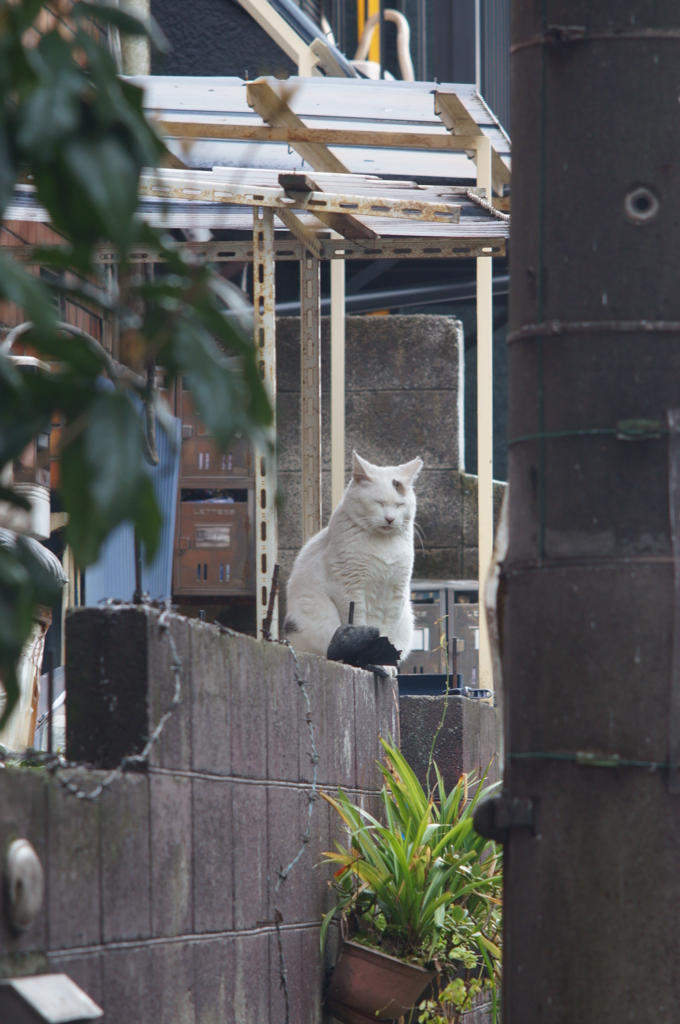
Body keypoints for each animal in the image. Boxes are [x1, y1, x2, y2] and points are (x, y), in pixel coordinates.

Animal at [282, 452, 421, 675]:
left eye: (400, 505)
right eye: (378, 502)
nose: (390, 519)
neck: (384, 544)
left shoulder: (397, 592)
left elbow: (387, 632)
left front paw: (384, 663)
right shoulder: (350, 589)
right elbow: (359, 624)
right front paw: (366, 661)